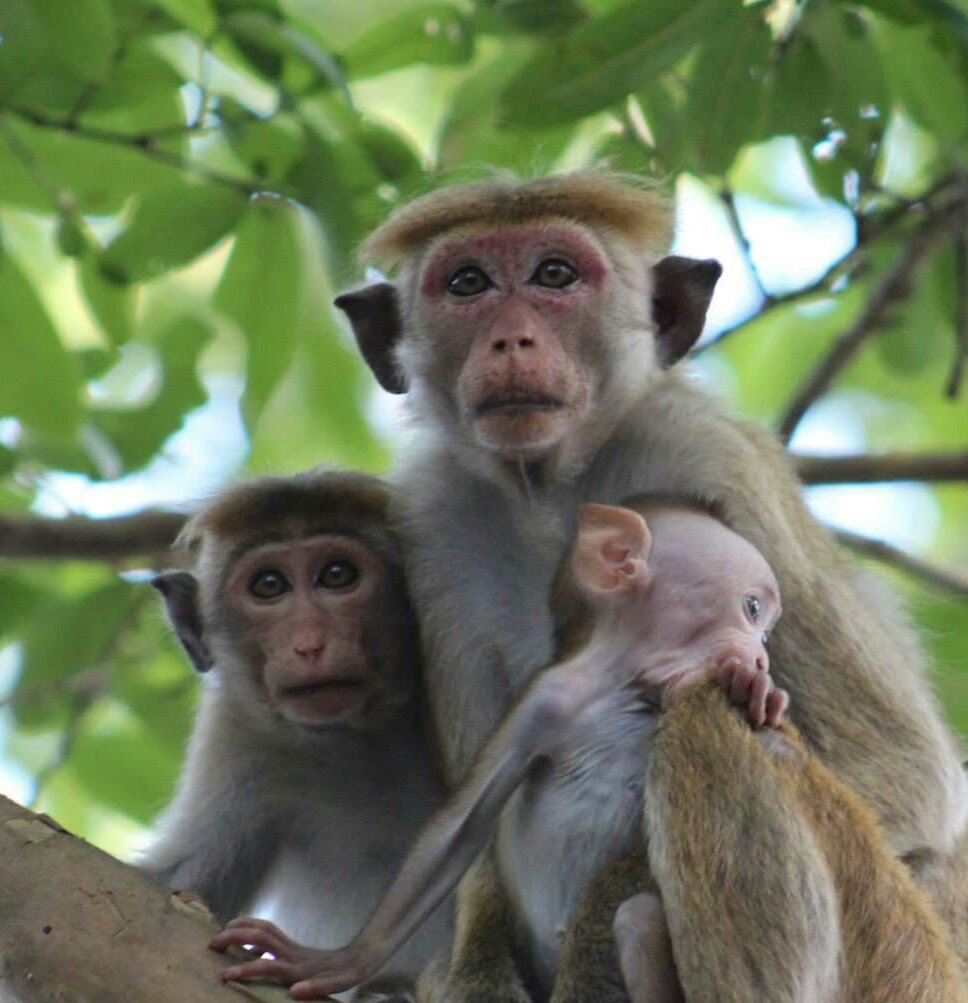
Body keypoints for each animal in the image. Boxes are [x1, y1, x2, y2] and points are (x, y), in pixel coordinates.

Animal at [139, 471, 449, 1003]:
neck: (356, 743)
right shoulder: (240, 735)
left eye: (338, 575)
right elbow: (176, 889)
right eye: (269, 586)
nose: (309, 644)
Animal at [335, 174, 966, 994]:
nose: (512, 339)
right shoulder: (436, 526)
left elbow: (901, 781)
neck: (551, 486)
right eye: (467, 283)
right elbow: (475, 829)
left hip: (907, 960)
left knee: (720, 721)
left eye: (555, 275)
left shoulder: (710, 454)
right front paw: (467, 970)